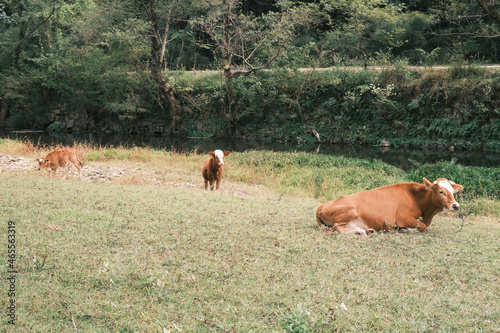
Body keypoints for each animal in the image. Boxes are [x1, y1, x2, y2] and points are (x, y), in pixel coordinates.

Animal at [318, 176, 462, 233]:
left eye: (452, 192)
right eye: (441, 191)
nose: (456, 206)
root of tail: (322, 206)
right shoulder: (403, 218)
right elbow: (422, 226)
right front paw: (405, 229)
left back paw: (368, 230)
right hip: (351, 210)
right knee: (337, 227)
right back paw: (361, 231)